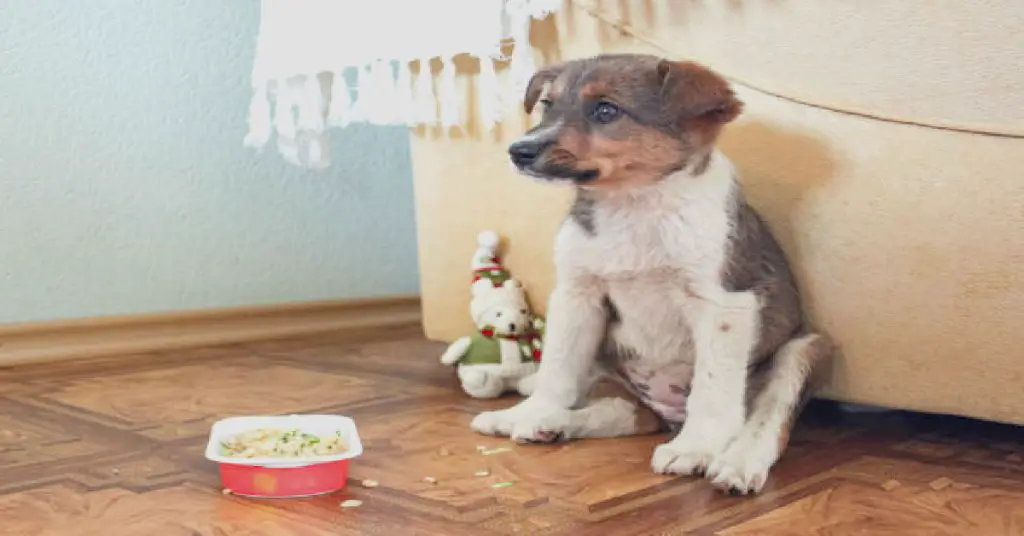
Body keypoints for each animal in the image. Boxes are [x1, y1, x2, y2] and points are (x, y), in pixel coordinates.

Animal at [471, 53, 831, 496]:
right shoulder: (577, 295)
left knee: (766, 421)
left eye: (606, 110)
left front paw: (696, 447)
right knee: (617, 412)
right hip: (608, 368)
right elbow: (557, 369)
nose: (517, 151)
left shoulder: (726, 304)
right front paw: (534, 411)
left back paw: (735, 464)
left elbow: (713, 389)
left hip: (805, 349)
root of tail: (667, 415)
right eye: (547, 106)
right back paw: (540, 421)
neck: (633, 203)